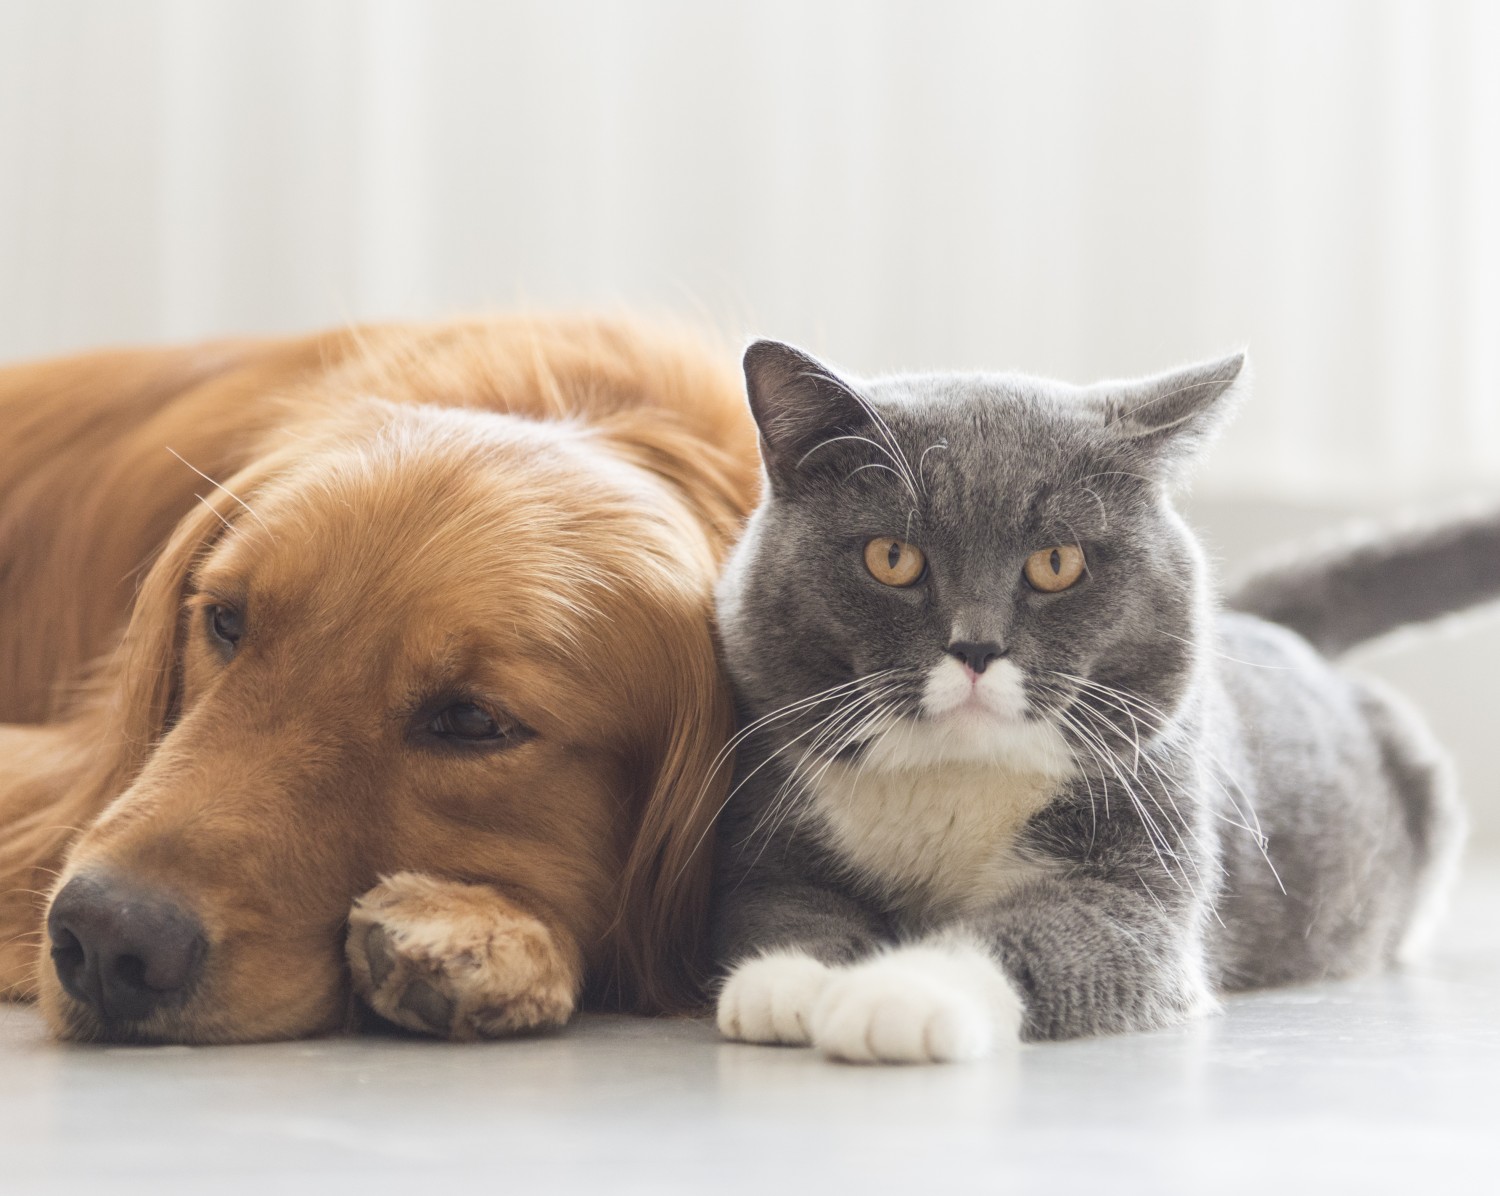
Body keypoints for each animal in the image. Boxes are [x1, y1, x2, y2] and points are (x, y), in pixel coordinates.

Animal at [708, 337, 1470, 1062]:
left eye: (1057, 563)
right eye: (892, 557)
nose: (976, 647)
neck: (956, 776)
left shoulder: (1141, 862)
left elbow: (1046, 933)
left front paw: (897, 995)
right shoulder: (770, 828)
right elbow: (782, 905)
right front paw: (789, 983)